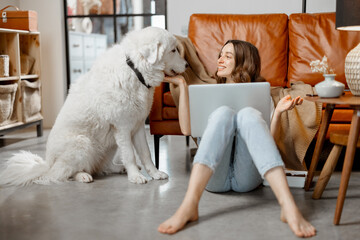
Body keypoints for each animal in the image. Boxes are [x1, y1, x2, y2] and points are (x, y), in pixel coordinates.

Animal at [2, 27, 188, 187]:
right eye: (173, 50)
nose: (187, 65)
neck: (135, 70)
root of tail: (47, 164)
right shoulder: (122, 128)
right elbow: (130, 155)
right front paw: (135, 176)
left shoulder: (138, 126)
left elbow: (146, 154)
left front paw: (155, 173)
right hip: (82, 143)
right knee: (63, 174)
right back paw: (83, 176)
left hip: (110, 144)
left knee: (101, 167)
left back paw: (118, 168)